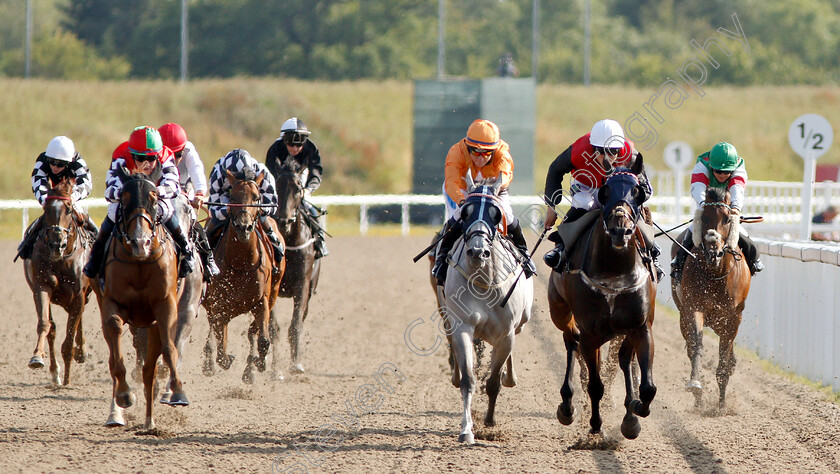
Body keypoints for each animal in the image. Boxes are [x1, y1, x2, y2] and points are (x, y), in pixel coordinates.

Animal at [22, 178, 92, 386]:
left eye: (68, 209)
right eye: (46, 209)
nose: (56, 244)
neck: (61, 259)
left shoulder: (78, 294)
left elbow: (70, 336)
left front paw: (68, 376)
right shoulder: (41, 287)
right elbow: (45, 325)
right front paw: (37, 357)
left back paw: (80, 353)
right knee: (53, 330)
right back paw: (55, 372)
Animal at [94, 169, 188, 430]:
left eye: (154, 198)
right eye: (124, 199)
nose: (140, 242)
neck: (139, 262)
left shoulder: (165, 306)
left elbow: (169, 348)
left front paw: (178, 391)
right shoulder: (111, 303)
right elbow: (116, 348)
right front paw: (125, 395)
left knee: (149, 370)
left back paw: (149, 421)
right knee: (116, 359)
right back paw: (116, 414)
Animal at [203, 170, 286, 386]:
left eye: (256, 198)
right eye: (232, 197)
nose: (243, 227)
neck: (241, 263)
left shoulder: (261, 302)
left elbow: (262, 340)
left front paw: (257, 364)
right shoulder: (220, 306)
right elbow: (222, 349)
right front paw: (223, 359)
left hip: (272, 294)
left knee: (252, 333)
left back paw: (250, 368)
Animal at [548, 166, 660, 440]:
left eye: (638, 192)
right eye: (605, 191)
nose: (621, 230)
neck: (614, 271)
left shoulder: (641, 327)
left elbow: (648, 386)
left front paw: (636, 408)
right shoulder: (591, 334)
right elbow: (595, 385)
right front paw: (595, 425)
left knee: (624, 359)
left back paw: (629, 417)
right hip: (560, 312)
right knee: (571, 341)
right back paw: (567, 405)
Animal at [672, 187, 752, 410]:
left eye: (726, 219)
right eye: (704, 217)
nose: (713, 253)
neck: (716, 274)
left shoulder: (732, 318)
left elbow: (724, 358)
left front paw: (722, 404)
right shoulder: (693, 308)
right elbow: (696, 345)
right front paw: (695, 385)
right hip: (684, 314)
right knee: (690, 343)